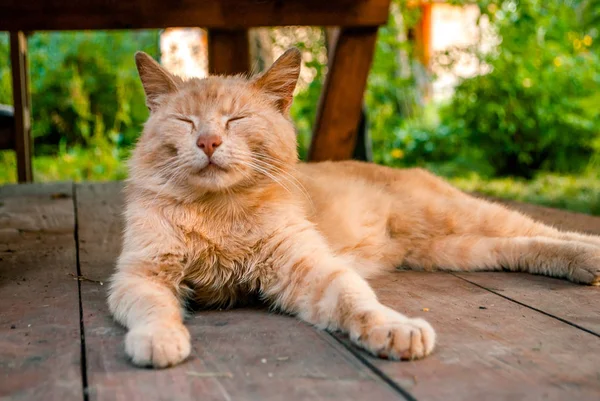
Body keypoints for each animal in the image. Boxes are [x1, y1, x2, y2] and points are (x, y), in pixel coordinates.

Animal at [109, 48, 600, 368]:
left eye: (236, 120)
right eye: (185, 121)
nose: (208, 142)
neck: (219, 213)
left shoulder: (308, 266)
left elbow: (356, 300)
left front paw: (394, 329)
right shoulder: (141, 274)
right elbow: (153, 308)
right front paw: (159, 338)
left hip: (459, 214)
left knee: (545, 229)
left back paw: (589, 254)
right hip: (454, 248)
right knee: (520, 244)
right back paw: (580, 263)